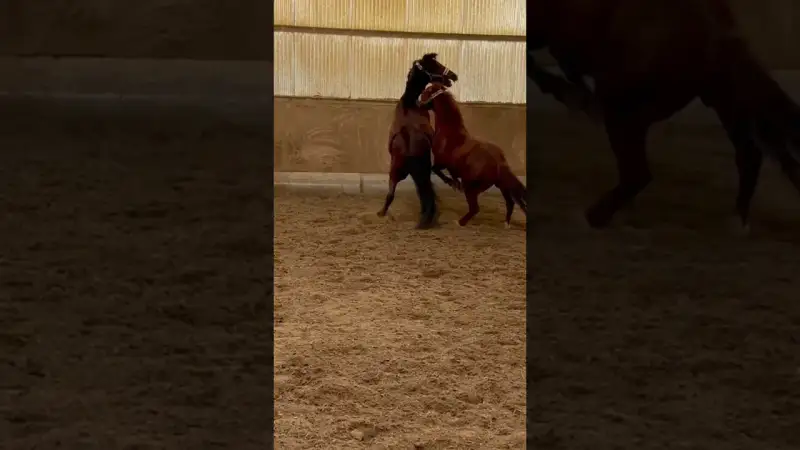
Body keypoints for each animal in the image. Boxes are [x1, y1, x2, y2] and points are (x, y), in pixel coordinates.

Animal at [377, 53, 460, 229]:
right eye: (436, 65)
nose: (453, 76)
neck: (410, 104)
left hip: (397, 174)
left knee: (393, 194)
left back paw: (382, 213)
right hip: (418, 171)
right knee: (425, 192)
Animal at [418, 82, 527, 228]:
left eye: (426, 91)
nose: (419, 102)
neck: (449, 133)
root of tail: (499, 163)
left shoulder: (441, 162)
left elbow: (435, 170)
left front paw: (453, 184)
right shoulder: (451, 167)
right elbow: (450, 174)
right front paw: (455, 183)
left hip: (472, 188)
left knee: (475, 208)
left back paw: (459, 222)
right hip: (501, 185)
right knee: (510, 202)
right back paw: (506, 224)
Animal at [528, 0, 800, 231]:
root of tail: (716, 30)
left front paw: (571, 94)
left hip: (621, 105)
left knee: (637, 173)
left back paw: (592, 216)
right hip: (724, 101)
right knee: (749, 155)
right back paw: (737, 221)